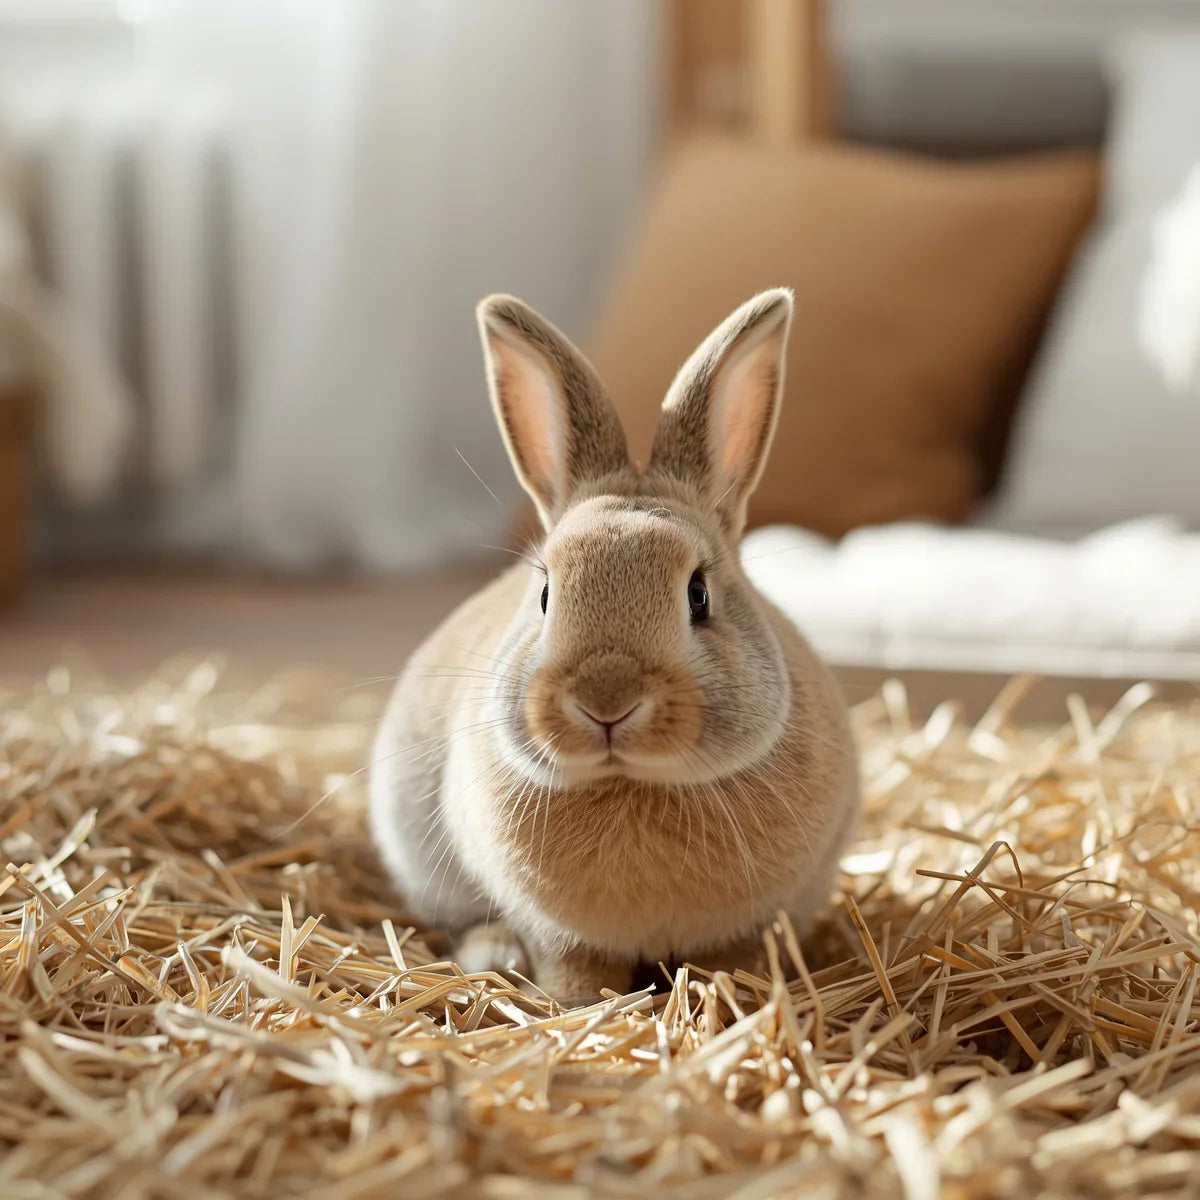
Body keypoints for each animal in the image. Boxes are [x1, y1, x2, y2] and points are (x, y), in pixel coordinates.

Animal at [369, 288, 859, 1002]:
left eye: (699, 595)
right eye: (546, 593)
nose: (607, 701)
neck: (631, 783)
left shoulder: (747, 927)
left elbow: (731, 961)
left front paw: (733, 998)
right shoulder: (558, 935)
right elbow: (575, 969)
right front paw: (575, 1003)